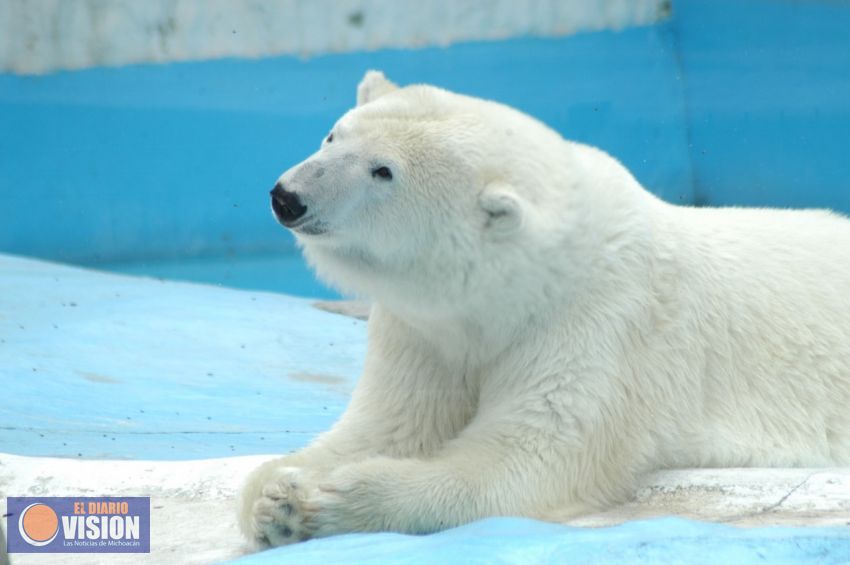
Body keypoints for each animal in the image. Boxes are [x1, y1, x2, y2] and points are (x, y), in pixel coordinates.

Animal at [237, 70, 848, 548]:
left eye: (383, 171)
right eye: (333, 134)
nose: (288, 197)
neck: (513, 288)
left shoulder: (600, 322)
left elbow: (528, 456)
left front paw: (326, 501)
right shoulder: (425, 331)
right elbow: (392, 424)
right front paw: (275, 495)